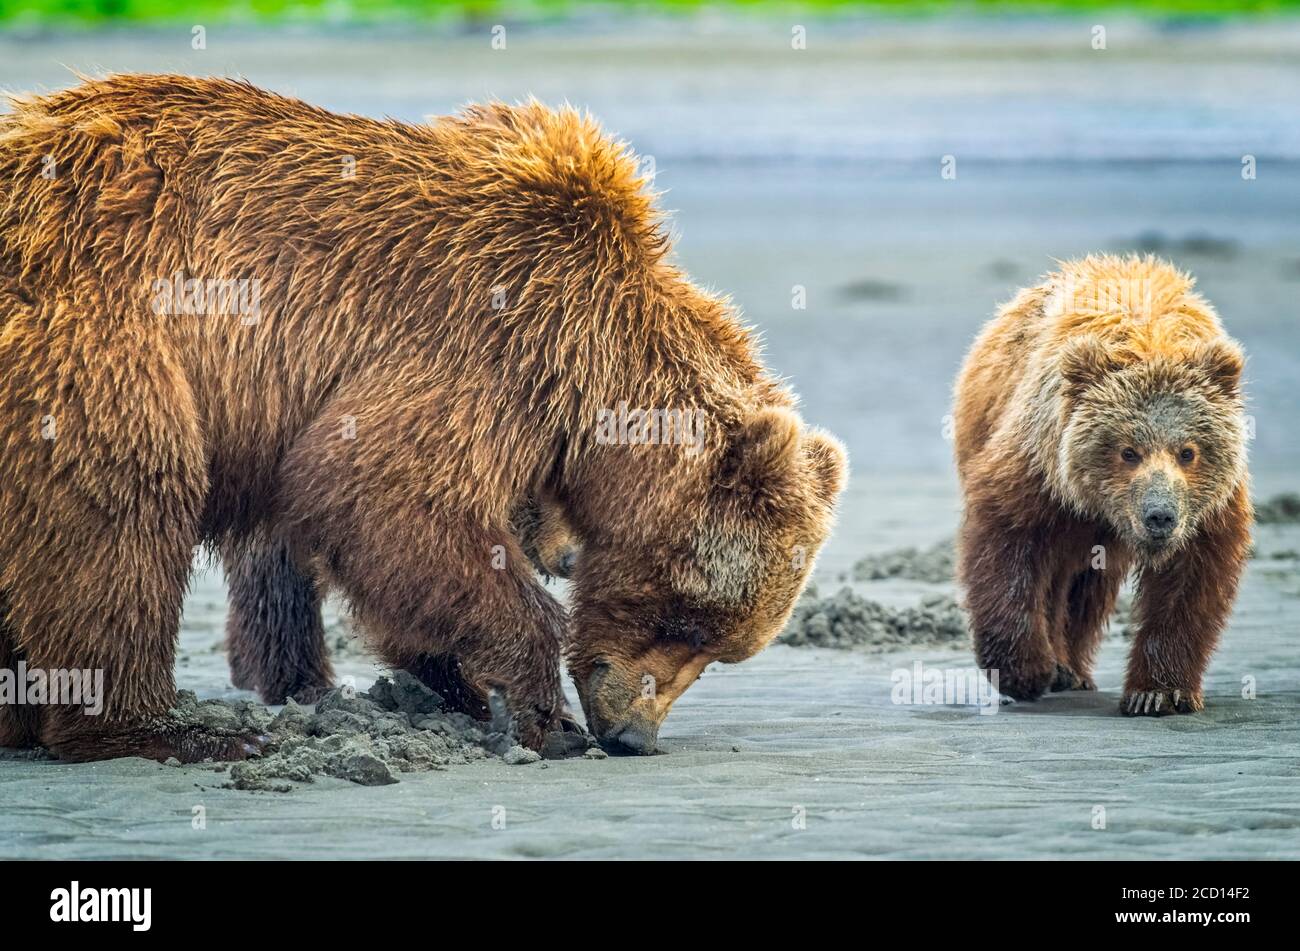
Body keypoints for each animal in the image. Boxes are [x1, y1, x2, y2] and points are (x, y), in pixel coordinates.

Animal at [0, 74, 842, 763]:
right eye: (690, 620)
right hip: (96, 339)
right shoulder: (490, 334)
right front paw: (541, 713)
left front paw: (457, 687)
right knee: (123, 511)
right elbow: (386, 493)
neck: (596, 358)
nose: (634, 734)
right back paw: (168, 728)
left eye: (723, 647)